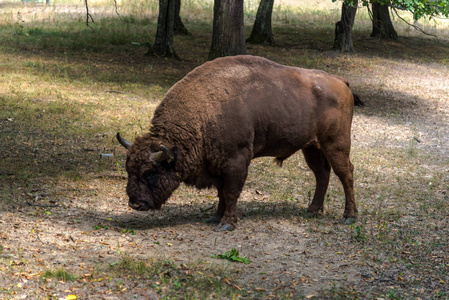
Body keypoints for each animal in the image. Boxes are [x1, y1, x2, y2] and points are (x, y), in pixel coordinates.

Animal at [117, 55, 362, 231]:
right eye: (129, 170)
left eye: (151, 173)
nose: (135, 203)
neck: (204, 114)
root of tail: (341, 82)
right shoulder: (217, 165)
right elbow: (221, 192)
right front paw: (215, 217)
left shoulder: (236, 161)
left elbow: (231, 192)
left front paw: (227, 224)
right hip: (311, 147)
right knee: (322, 174)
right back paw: (312, 210)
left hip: (336, 144)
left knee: (346, 174)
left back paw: (349, 217)